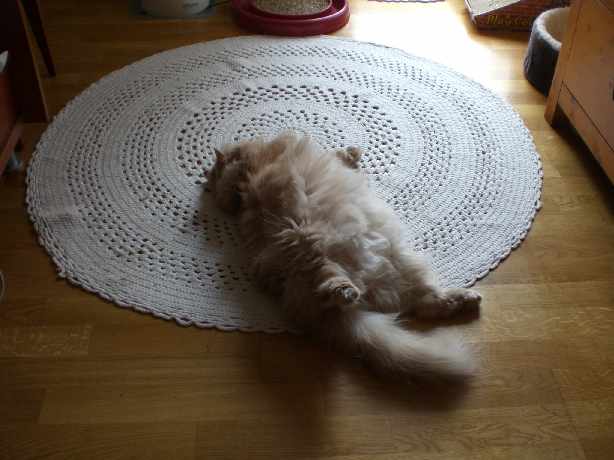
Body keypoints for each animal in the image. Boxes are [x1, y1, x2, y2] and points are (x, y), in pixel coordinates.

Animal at [207, 131, 481, 378]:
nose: (207, 179)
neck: (247, 177)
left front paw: (352, 153)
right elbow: (338, 155)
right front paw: (352, 153)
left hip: (402, 263)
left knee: (427, 303)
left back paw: (464, 299)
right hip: (307, 245)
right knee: (336, 285)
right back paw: (344, 291)